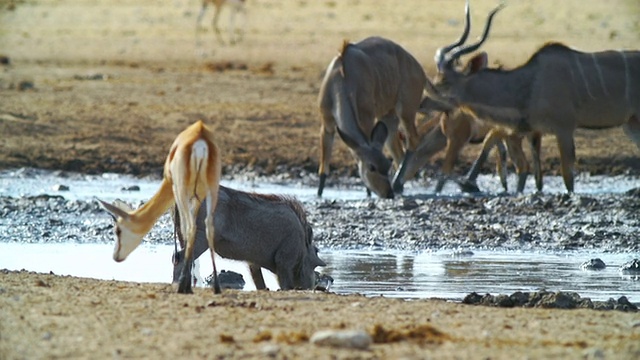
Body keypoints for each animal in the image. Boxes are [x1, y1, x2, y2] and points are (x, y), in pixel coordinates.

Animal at [98, 121, 222, 296]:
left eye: (117, 230)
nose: (116, 257)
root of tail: (200, 137)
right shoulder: (197, 196)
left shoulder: (177, 192)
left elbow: (184, 230)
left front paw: (186, 284)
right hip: (212, 188)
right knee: (209, 226)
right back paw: (216, 287)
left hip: (182, 191)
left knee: (190, 227)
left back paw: (183, 286)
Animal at [171, 186, 324, 290]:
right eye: (315, 255)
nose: (311, 287)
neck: (302, 243)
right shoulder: (284, 261)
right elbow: (285, 284)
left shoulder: (253, 262)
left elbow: (259, 281)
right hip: (200, 237)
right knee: (181, 257)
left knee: (181, 259)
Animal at [316, 36, 428, 198]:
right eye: (372, 167)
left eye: (386, 166)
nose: (388, 194)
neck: (342, 78)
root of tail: (420, 71)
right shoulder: (327, 124)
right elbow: (323, 167)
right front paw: (318, 195)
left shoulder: (367, 119)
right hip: (388, 116)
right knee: (398, 149)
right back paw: (398, 186)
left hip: (406, 111)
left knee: (413, 142)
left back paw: (397, 184)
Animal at [430, 1, 640, 193]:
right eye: (437, 77)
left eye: (445, 81)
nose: (427, 98)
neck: (530, 82)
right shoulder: (533, 131)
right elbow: (536, 177)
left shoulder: (564, 129)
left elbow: (567, 176)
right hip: (631, 125)